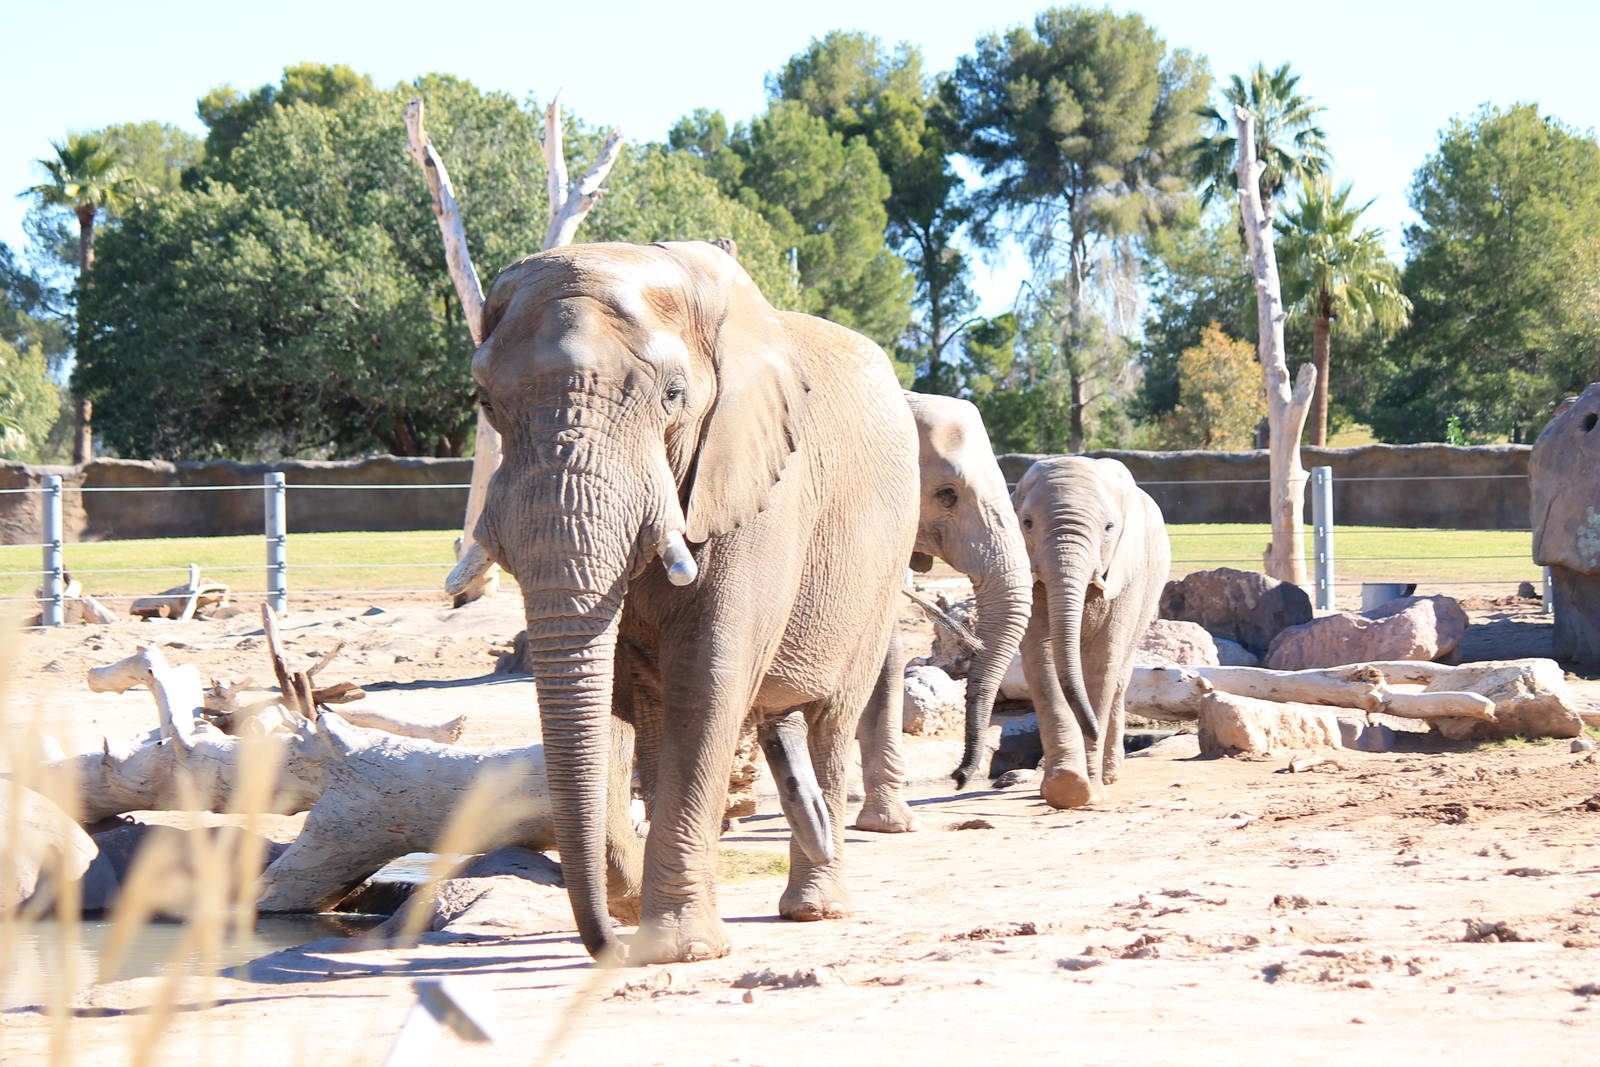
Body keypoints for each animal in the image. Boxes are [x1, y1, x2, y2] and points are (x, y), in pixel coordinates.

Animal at [465, 240, 918, 964]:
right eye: (483, 400)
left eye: (673, 397)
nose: (608, 946)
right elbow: (614, 691)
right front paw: (633, 908)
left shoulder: (759, 485)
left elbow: (708, 679)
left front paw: (679, 950)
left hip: (883, 563)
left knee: (831, 715)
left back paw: (815, 906)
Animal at [1012, 456, 1169, 810]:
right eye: (1027, 523)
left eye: (1109, 528)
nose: (1092, 729)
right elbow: (1040, 660)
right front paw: (1064, 786)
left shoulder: (1129, 575)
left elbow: (1102, 662)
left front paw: (1089, 791)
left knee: (1119, 678)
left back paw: (1110, 775)